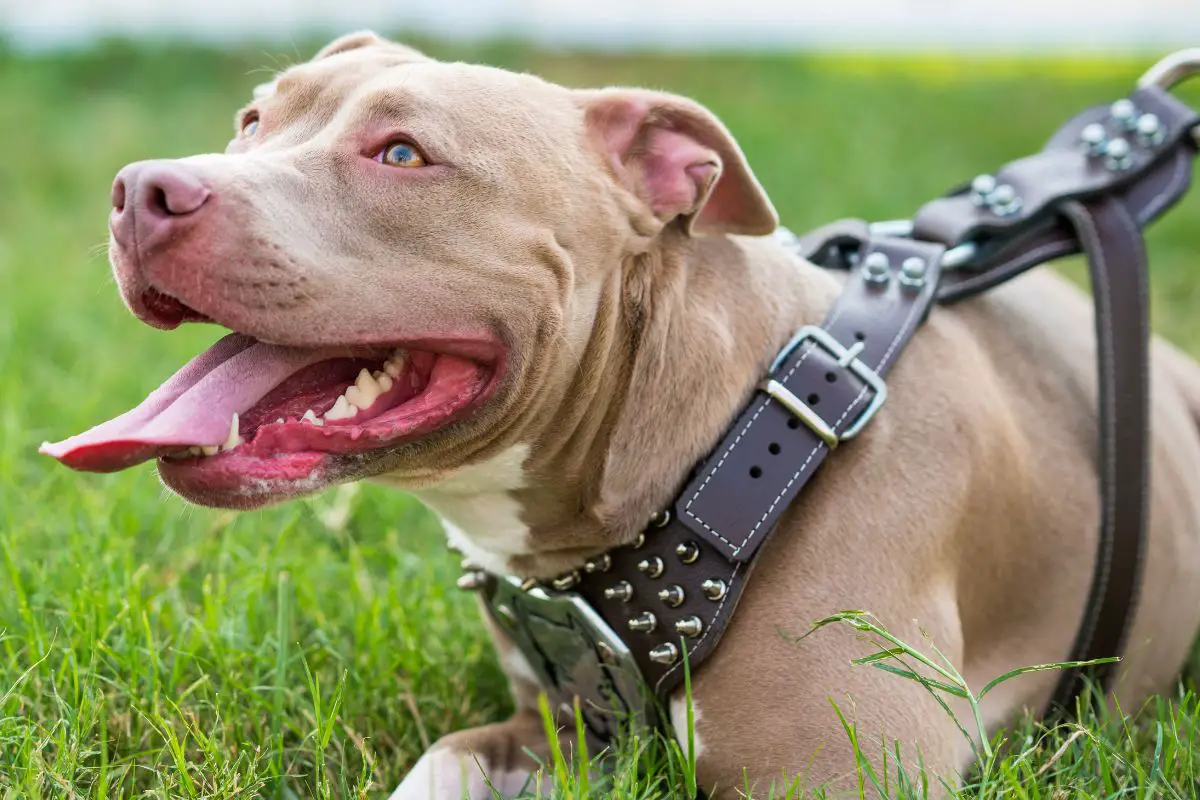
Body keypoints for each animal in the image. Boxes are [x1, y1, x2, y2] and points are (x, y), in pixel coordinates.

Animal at [42, 32, 1200, 800]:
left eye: (404, 154)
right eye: (253, 121)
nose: (141, 190)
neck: (732, 453)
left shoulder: (844, 771)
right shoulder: (550, 723)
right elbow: (440, 762)